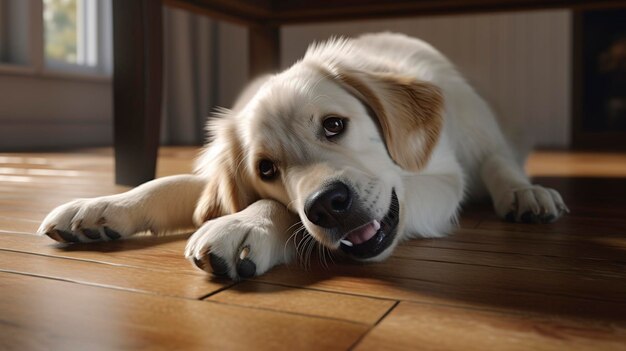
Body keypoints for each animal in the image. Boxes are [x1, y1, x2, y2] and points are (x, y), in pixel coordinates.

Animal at [37, 33, 564, 280]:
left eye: (334, 124)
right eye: (266, 168)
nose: (328, 204)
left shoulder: (440, 179)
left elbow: (282, 213)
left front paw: (244, 224)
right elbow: (169, 185)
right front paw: (99, 208)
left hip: (477, 125)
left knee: (498, 161)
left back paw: (528, 194)